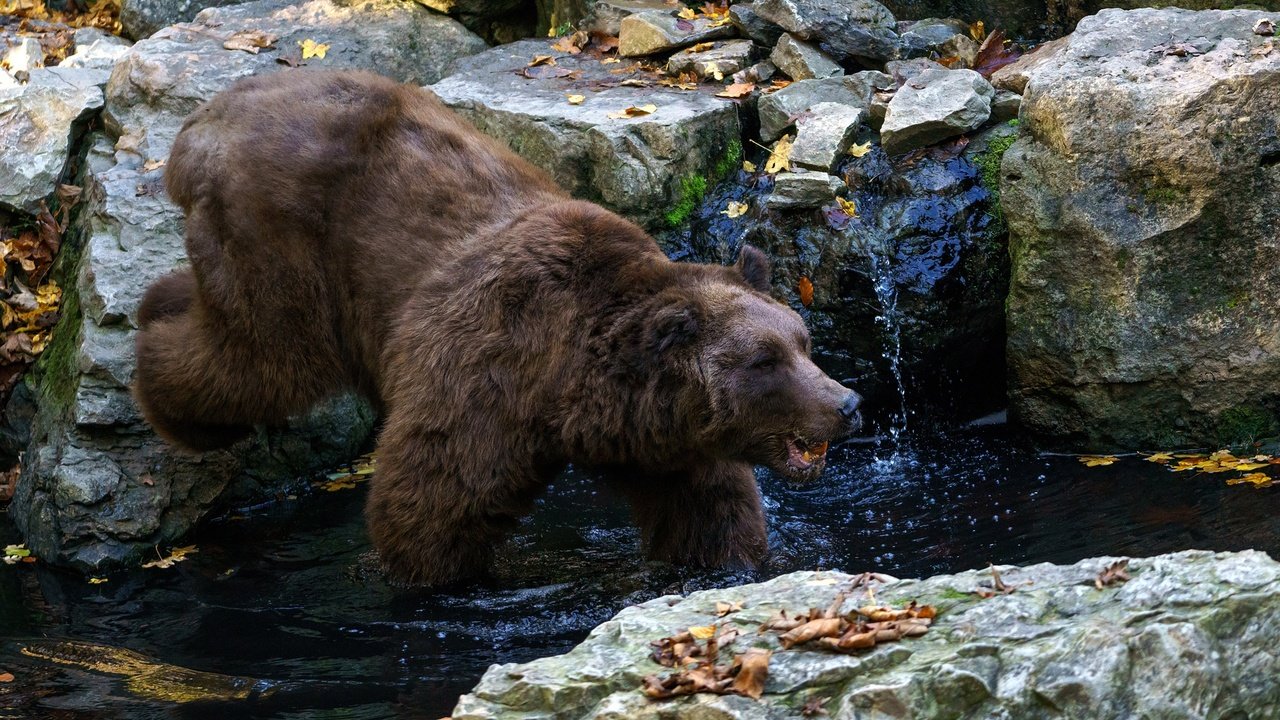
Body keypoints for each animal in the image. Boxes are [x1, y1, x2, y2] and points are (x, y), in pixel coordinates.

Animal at [135, 70, 860, 584]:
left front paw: (727, 560)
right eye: (764, 361)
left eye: (803, 344)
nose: (847, 403)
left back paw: (161, 302)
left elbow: (709, 510)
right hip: (290, 246)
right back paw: (175, 393)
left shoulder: (662, 441)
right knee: (258, 360)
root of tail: (201, 121)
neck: (572, 384)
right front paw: (435, 576)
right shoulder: (487, 369)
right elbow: (433, 501)